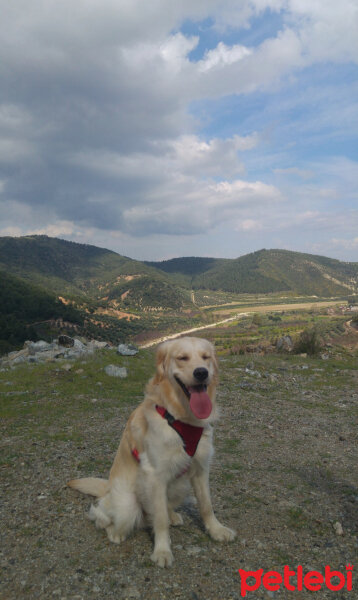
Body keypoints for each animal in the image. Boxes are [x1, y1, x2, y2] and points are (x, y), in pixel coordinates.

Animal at [68, 338, 235, 568]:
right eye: (182, 358)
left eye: (206, 357)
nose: (201, 372)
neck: (182, 418)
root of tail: (108, 488)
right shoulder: (155, 474)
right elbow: (160, 519)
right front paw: (162, 551)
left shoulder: (201, 468)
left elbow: (206, 505)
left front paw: (216, 530)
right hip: (127, 504)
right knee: (102, 516)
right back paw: (115, 533)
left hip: (181, 485)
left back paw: (173, 515)